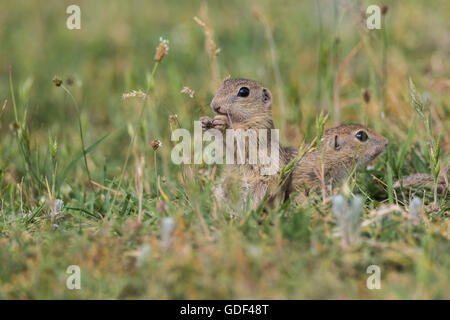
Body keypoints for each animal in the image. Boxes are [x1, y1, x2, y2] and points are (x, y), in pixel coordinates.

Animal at [199, 78, 294, 210]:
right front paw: (204, 121)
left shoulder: (259, 128)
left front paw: (223, 123)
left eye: (244, 92)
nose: (215, 105)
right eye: (223, 84)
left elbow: (241, 138)